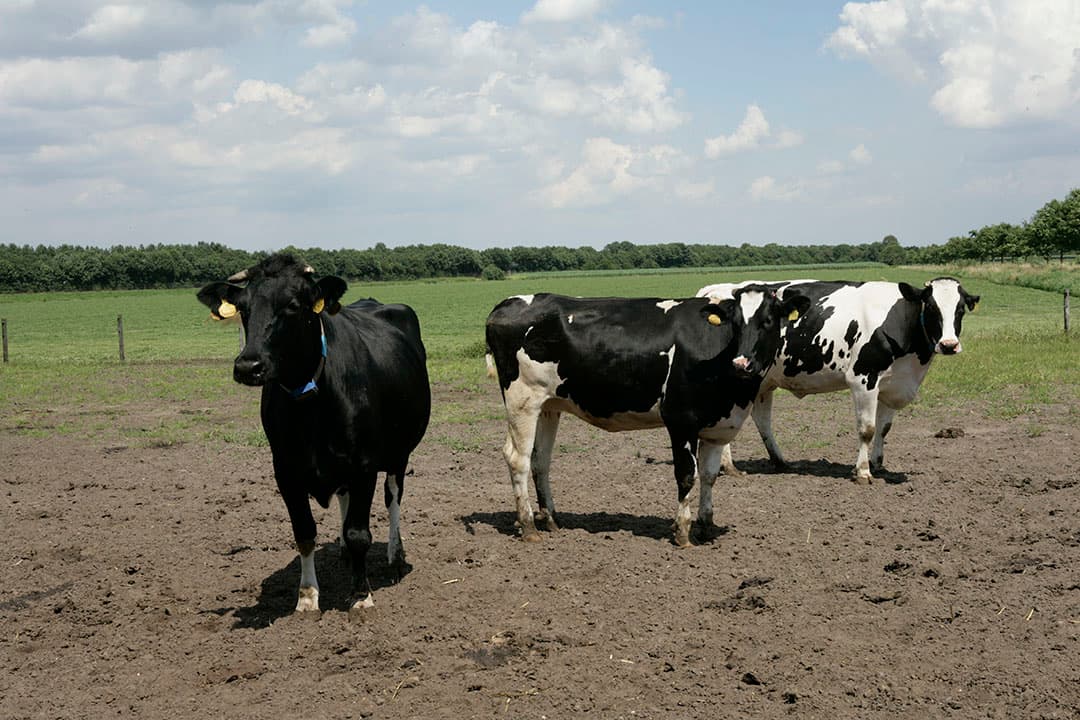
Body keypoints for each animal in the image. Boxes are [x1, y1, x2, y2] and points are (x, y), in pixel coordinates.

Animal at [197, 254, 431, 613]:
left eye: (293, 305)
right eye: (243, 308)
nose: (249, 366)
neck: (311, 405)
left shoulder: (364, 466)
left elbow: (360, 533)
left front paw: (360, 595)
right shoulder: (285, 469)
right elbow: (304, 532)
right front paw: (307, 596)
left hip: (398, 453)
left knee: (393, 496)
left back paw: (395, 552)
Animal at [484, 288, 810, 547]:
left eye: (768, 321)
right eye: (735, 323)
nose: (742, 363)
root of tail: (509, 303)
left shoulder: (717, 426)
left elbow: (709, 475)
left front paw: (706, 526)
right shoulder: (681, 420)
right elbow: (686, 475)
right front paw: (682, 533)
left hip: (549, 404)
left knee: (540, 460)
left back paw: (551, 520)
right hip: (522, 400)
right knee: (517, 459)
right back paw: (528, 526)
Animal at [695, 277, 980, 483]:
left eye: (960, 309)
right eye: (930, 307)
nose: (949, 344)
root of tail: (716, 289)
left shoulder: (893, 384)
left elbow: (884, 429)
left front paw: (878, 464)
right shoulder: (863, 380)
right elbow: (867, 429)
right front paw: (862, 472)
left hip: (763, 380)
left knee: (762, 419)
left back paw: (778, 461)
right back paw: (729, 466)